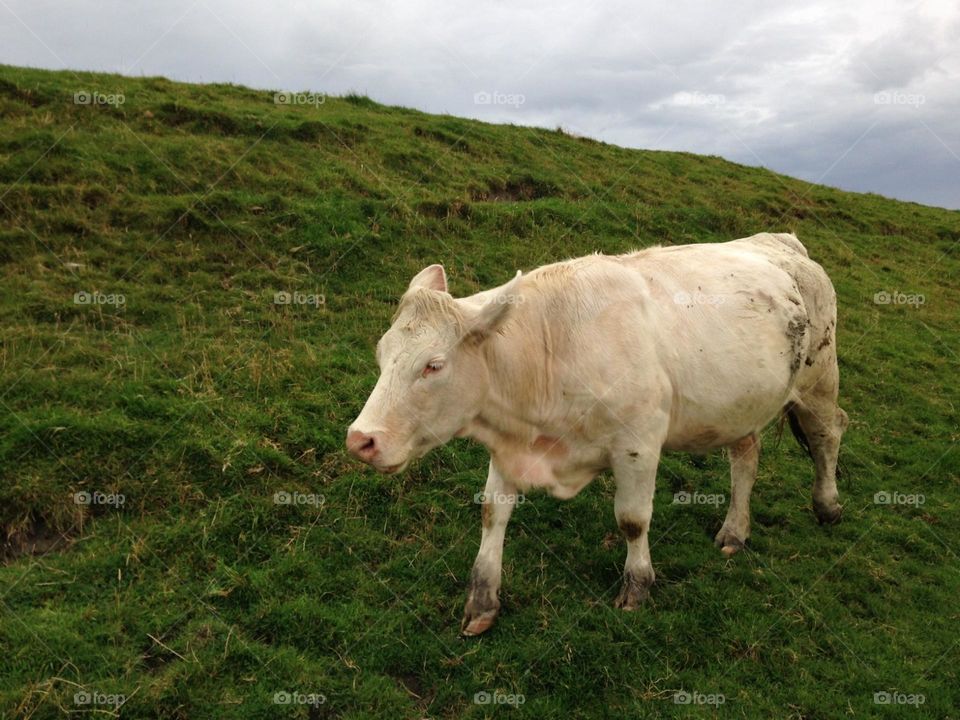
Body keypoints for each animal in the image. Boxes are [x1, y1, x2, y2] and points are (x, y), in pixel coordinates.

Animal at [346, 232, 848, 636]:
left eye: (433, 365)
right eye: (382, 353)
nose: (360, 440)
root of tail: (780, 241)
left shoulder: (638, 443)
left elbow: (632, 519)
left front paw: (637, 586)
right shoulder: (510, 444)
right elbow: (493, 512)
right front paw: (483, 599)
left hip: (819, 378)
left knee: (829, 432)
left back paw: (827, 504)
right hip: (743, 401)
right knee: (746, 456)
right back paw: (734, 530)